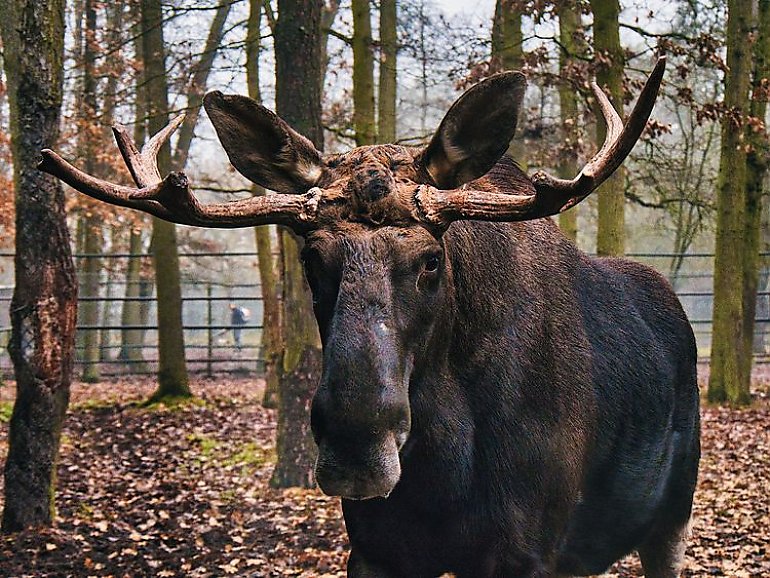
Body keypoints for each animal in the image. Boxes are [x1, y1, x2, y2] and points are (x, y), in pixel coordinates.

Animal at [45, 59, 700, 576]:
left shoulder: (527, 551)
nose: (357, 447)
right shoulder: (376, 549)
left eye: (433, 257)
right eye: (310, 255)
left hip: (673, 517)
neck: (444, 464)